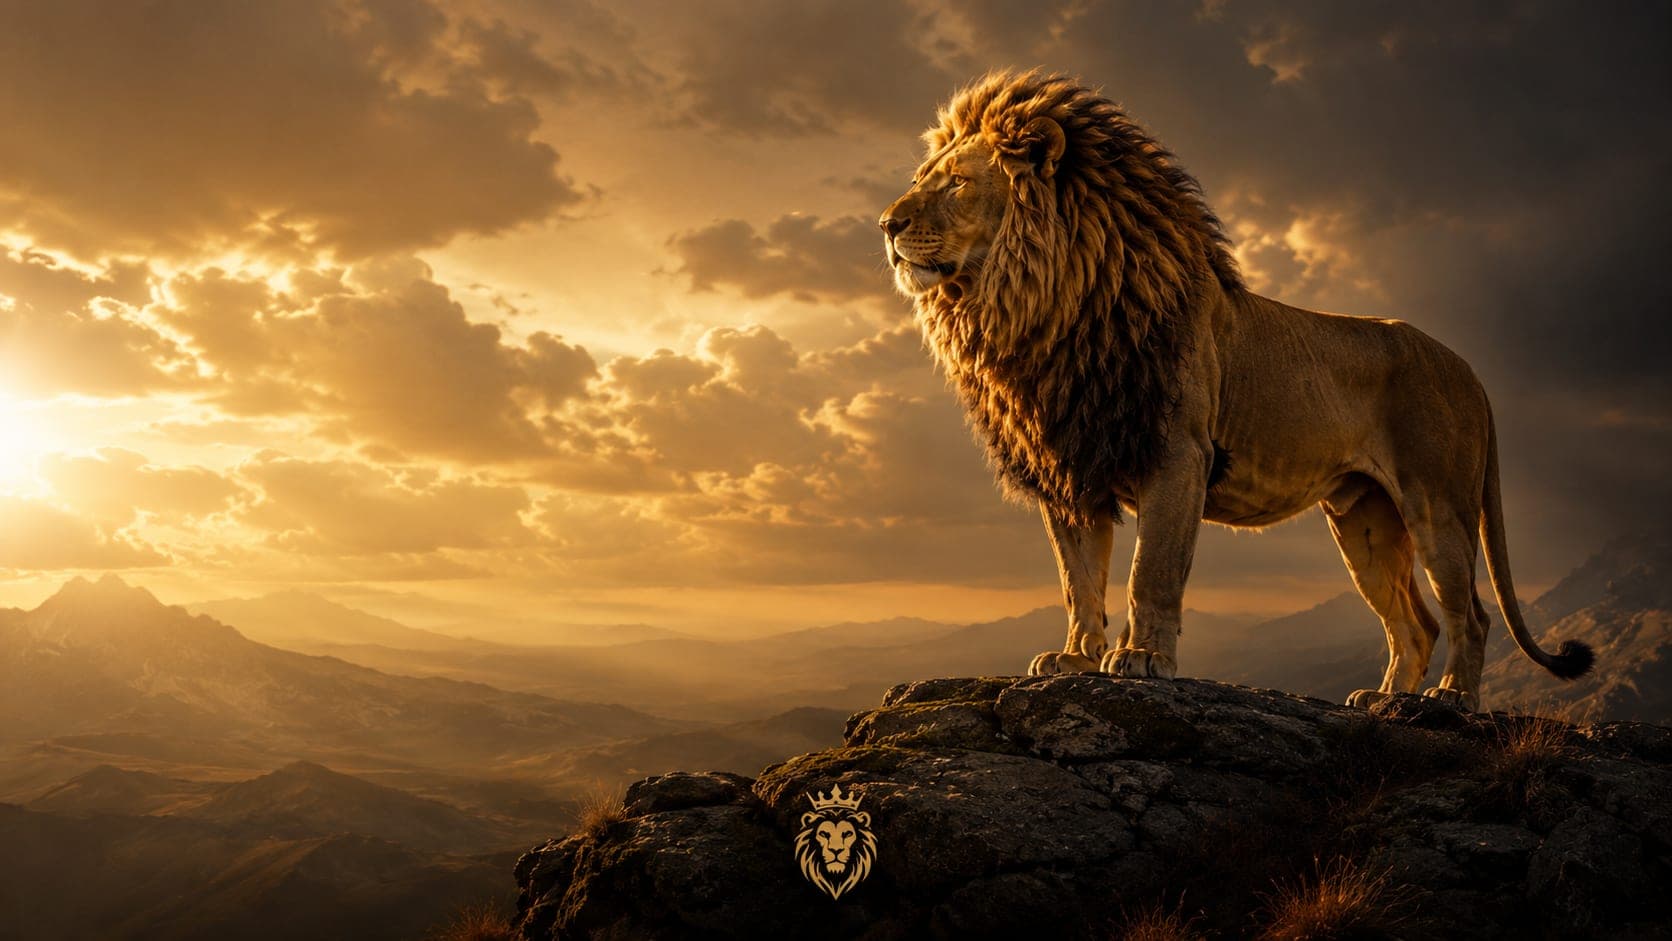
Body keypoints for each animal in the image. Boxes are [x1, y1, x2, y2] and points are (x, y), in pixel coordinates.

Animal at [880, 70, 1593, 710]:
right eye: (921, 179)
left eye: (958, 182)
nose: (886, 224)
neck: (1043, 310)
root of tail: (1469, 369)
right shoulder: (1071, 467)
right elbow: (1078, 582)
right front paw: (1076, 658)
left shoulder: (1178, 454)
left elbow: (1150, 572)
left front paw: (1142, 659)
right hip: (1363, 520)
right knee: (1414, 623)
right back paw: (1386, 699)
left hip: (1437, 502)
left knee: (1470, 612)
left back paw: (1453, 699)